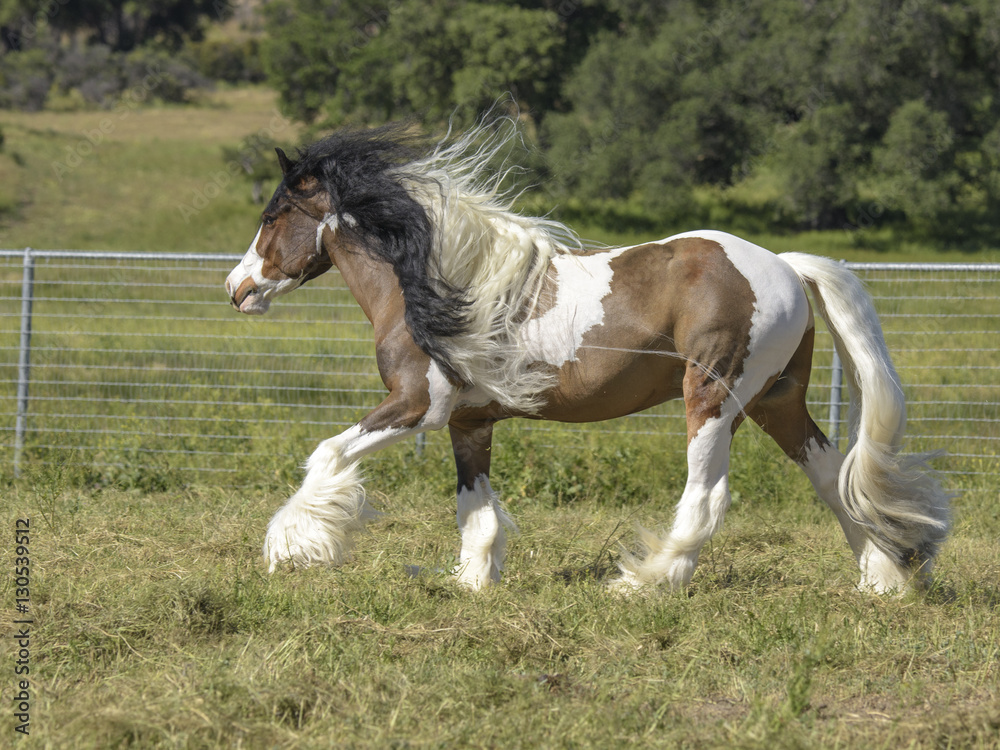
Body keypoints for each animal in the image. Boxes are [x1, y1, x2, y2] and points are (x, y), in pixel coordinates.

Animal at [224, 121, 950, 595]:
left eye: (275, 214)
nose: (237, 289)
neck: (435, 284)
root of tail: (786, 266)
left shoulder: (415, 406)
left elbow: (326, 456)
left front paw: (292, 550)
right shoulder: (468, 423)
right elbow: (475, 513)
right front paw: (471, 584)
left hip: (714, 397)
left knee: (707, 497)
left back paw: (645, 581)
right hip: (777, 401)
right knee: (834, 478)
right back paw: (883, 580)